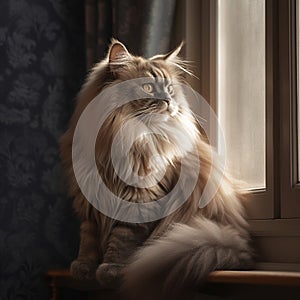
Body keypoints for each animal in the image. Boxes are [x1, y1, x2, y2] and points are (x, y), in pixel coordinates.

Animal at [59, 38, 252, 298]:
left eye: (169, 89)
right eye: (149, 88)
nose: (168, 101)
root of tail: (236, 244)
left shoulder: (140, 200)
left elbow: (122, 240)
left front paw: (109, 269)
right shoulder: (89, 199)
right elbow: (88, 238)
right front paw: (83, 267)